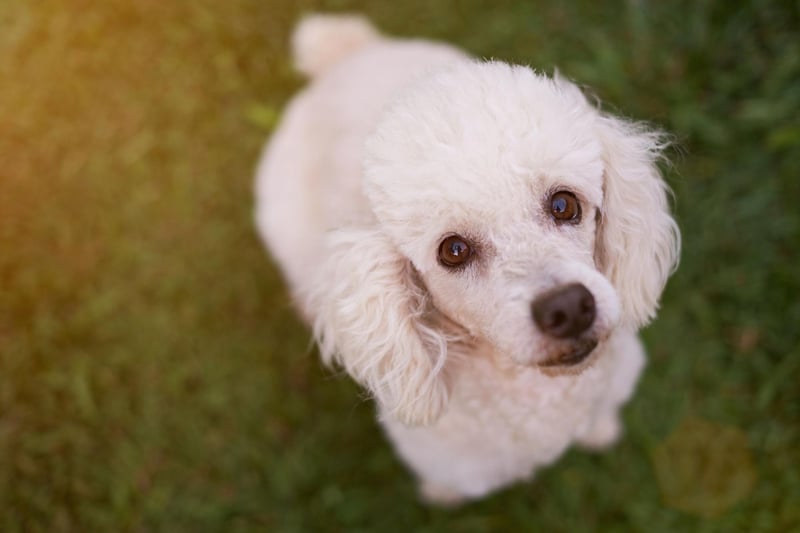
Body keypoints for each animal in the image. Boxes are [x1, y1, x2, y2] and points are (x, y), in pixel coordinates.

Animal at [253, 13, 680, 502]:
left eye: (564, 204)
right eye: (453, 251)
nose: (570, 308)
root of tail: (345, 55)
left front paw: (599, 431)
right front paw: (441, 496)